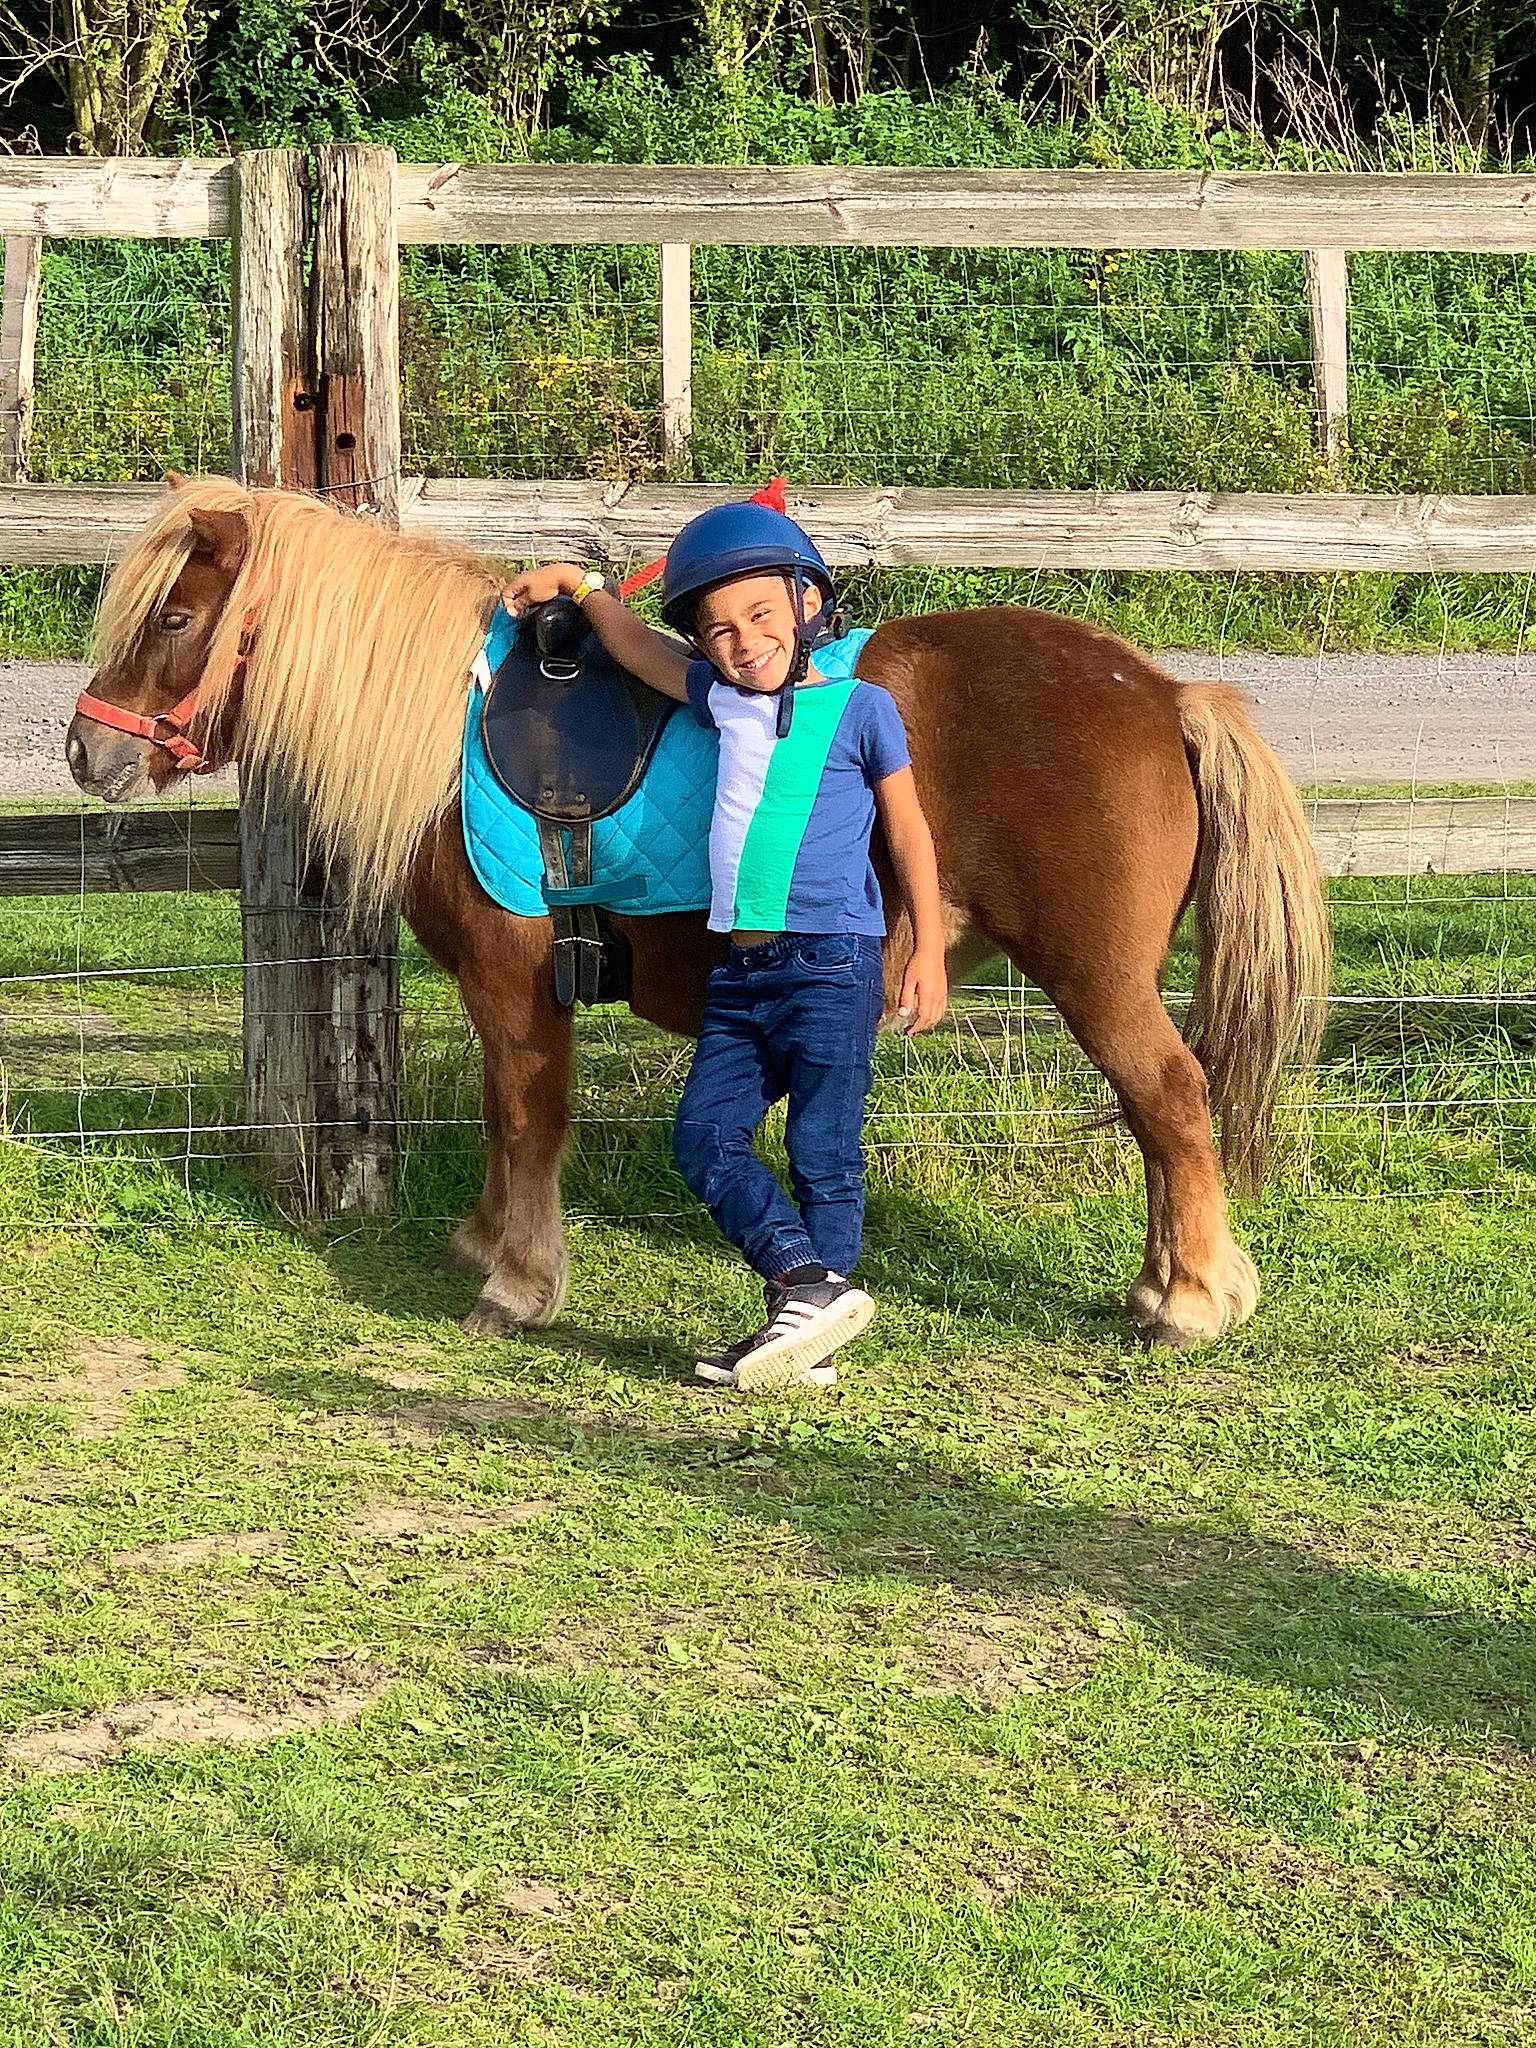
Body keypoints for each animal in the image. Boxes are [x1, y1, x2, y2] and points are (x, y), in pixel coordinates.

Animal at [65, 477, 1329, 1351]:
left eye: (174, 617)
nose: (85, 751)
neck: (449, 737)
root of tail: (1164, 691)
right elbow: (501, 1117)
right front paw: (484, 1239)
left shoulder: (516, 979)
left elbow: (528, 1117)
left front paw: (519, 1283)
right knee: (1160, 1116)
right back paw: (1165, 1281)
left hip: (1096, 976)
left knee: (1171, 1099)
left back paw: (1193, 1298)